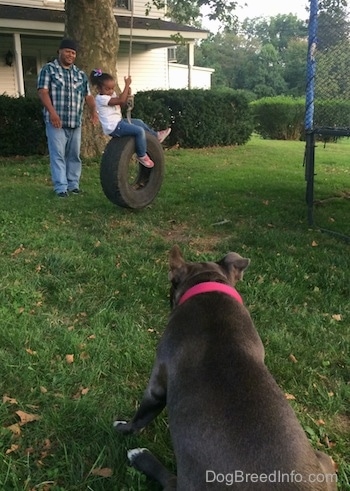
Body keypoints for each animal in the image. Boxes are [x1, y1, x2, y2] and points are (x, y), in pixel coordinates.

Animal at [114, 248, 336, 490]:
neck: (208, 287)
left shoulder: (158, 382)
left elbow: (140, 417)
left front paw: (122, 427)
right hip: (324, 458)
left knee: (170, 479)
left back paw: (140, 455)